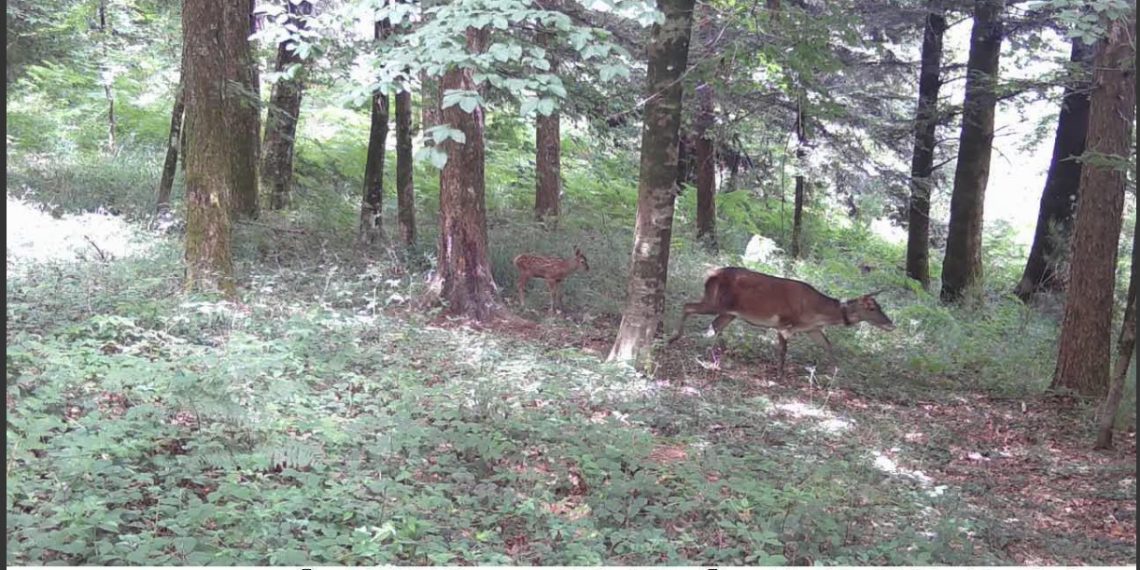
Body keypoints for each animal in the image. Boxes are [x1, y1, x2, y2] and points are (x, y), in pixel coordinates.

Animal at [668, 267, 895, 378]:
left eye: (880, 306)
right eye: (872, 308)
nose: (891, 324)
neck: (815, 313)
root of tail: (709, 276)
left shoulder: (812, 329)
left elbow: (828, 345)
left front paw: (836, 371)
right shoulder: (785, 324)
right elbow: (783, 350)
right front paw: (779, 374)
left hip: (729, 312)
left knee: (715, 326)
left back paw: (718, 355)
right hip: (716, 301)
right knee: (688, 306)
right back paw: (674, 338)